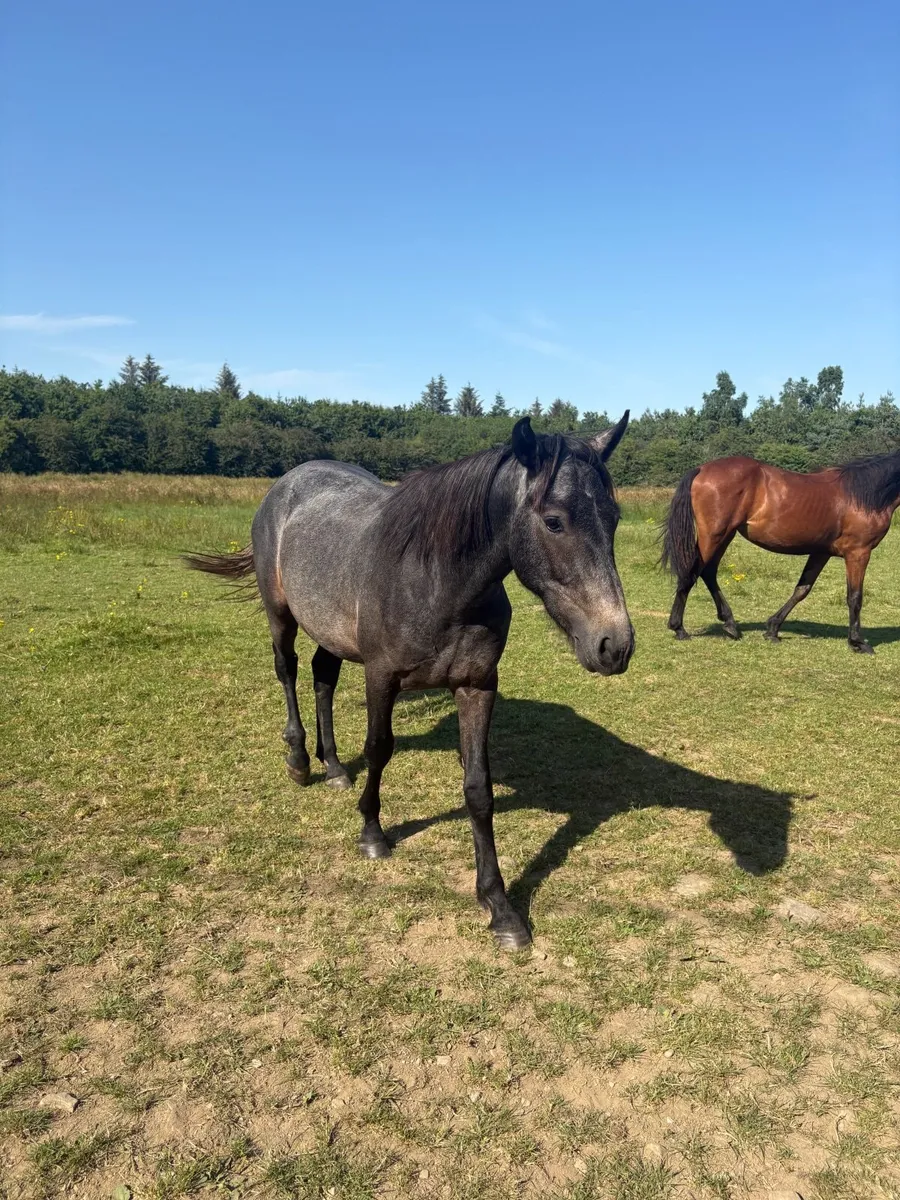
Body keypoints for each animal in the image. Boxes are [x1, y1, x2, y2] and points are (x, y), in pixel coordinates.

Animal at [186, 413, 634, 951]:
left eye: (613, 518)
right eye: (553, 521)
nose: (615, 645)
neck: (438, 583)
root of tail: (287, 483)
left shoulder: (477, 685)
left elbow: (478, 788)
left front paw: (500, 907)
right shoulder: (382, 677)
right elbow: (380, 748)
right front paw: (373, 834)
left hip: (332, 633)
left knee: (322, 678)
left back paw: (334, 767)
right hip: (281, 616)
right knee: (288, 670)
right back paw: (299, 760)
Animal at [661, 448, 900, 652]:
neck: (864, 495)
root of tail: (702, 469)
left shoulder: (821, 552)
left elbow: (802, 589)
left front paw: (773, 629)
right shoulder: (858, 553)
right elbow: (855, 597)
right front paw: (858, 642)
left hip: (725, 535)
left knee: (708, 572)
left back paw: (729, 624)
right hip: (714, 535)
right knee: (692, 571)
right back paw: (679, 628)